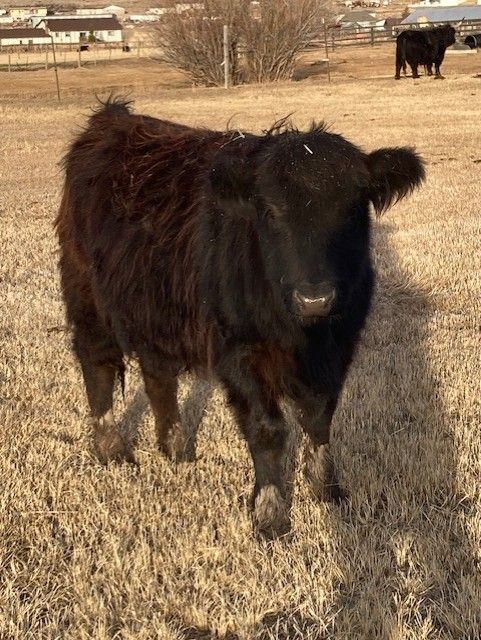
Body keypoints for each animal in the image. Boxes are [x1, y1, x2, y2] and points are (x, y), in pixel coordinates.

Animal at [56, 98, 425, 538]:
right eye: (271, 211)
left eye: (352, 207)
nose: (314, 298)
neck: (302, 331)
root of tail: (111, 118)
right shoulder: (239, 352)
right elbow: (268, 429)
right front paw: (270, 513)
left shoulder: (338, 348)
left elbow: (320, 419)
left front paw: (327, 490)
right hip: (86, 294)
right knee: (98, 364)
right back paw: (112, 449)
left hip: (157, 309)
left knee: (158, 373)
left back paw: (176, 448)